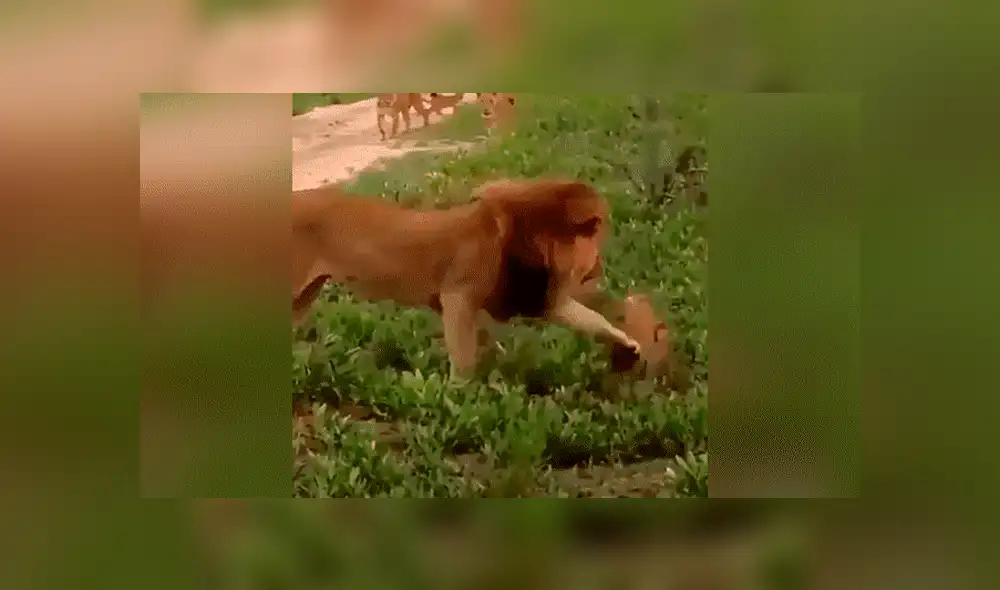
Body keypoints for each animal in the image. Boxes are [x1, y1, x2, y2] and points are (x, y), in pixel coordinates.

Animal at [292, 178, 641, 377]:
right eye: (596, 231)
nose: (600, 267)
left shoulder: (537, 297)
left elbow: (592, 319)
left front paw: (630, 344)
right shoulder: (457, 297)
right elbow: (463, 357)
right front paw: (460, 396)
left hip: (302, 297)